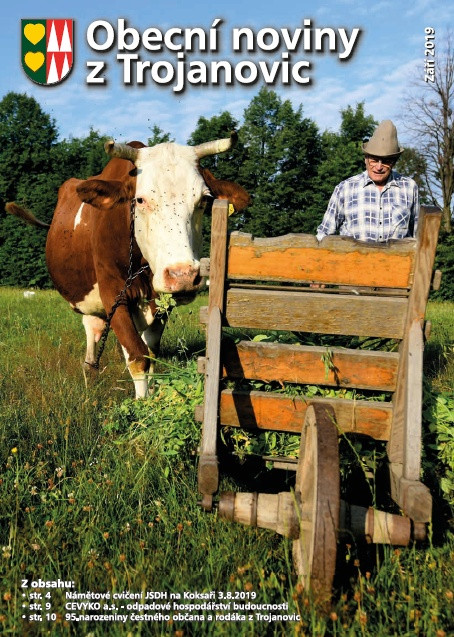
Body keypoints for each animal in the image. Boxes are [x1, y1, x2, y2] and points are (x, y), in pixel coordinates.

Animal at [6, 132, 248, 396]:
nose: (183, 276)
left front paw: (152, 395)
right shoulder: (113, 291)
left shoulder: (161, 300)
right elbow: (137, 355)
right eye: (140, 200)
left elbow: (150, 351)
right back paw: (90, 372)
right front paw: (141, 403)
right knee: (92, 333)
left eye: (204, 199)